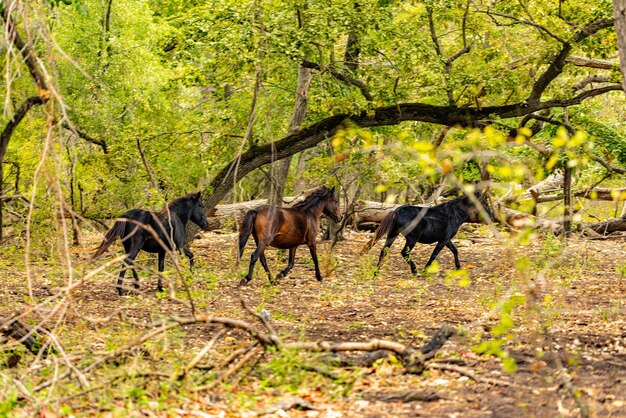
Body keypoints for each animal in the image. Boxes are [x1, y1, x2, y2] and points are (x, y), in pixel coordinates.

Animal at [360, 195, 492, 274]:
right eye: (485, 204)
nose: (491, 217)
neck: (454, 213)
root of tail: (396, 212)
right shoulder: (443, 240)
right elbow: (434, 255)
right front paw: (425, 269)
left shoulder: (446, 239)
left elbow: (455, 250)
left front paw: (458, 267)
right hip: (411, 239)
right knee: (404, 252)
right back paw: (415, 271)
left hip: (393, 235)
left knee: (384, 251)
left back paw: (376, 271)